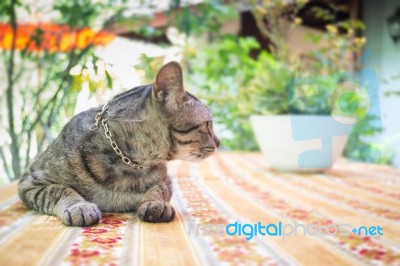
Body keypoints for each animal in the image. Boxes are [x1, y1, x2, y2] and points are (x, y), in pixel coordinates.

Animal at [18, 61, 219, 227]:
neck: (130, 164)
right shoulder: (30, 180)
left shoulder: (166, 180)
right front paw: (79, 206)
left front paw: (155, 203)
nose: (219, 142)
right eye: (208, 124)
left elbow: (158, 189)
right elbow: (58, 190)